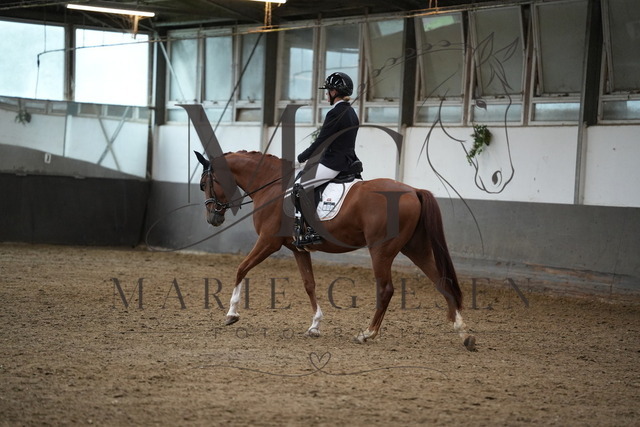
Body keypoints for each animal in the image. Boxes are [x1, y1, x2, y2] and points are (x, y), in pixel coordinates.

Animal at [195, 150, 476, 351]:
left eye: (204, 183)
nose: (212, 218)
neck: (272, 186)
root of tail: (413, 190)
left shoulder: (268, 242)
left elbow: (241, 269)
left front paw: (231, 313)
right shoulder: (298, 249)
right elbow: (309, 284)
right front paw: (315, 326)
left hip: (381, 250)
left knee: (386, 290)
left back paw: (367, 334)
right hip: (415, 248)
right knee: (441, 282)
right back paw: (463, 333)